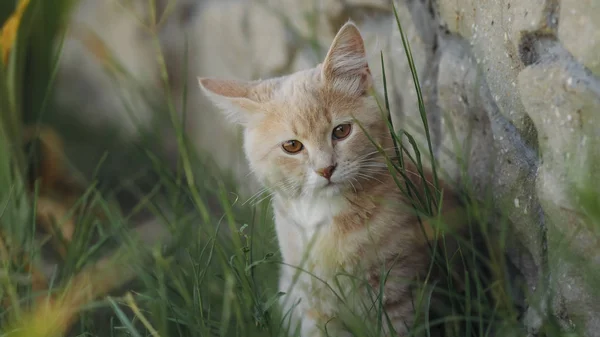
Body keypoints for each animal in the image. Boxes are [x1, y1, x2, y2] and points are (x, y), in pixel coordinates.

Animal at [199, 21, 462, 336]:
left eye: (341, 131)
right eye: (292, 146)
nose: (326, 169)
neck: (327, 219)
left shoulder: (399, 288)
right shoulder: (313, 303)